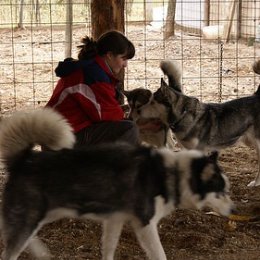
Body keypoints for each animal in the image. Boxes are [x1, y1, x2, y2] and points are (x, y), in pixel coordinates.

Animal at [0, 107, 234, 260]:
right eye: (220, 191)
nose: (235, 210)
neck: (174, 173)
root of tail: (24, 159)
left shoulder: (115, 219)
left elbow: (109, 249)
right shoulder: (145, 225)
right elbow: (160, 254)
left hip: (43, 214)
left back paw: (41, 252)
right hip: (30, 216)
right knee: (10, 249)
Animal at [138, 59, 260, 187]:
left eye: (153, 102)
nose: (138, 110)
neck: (183, 115)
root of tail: (257, 96)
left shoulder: (199, 151)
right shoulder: (186, 149)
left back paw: (256, 183)